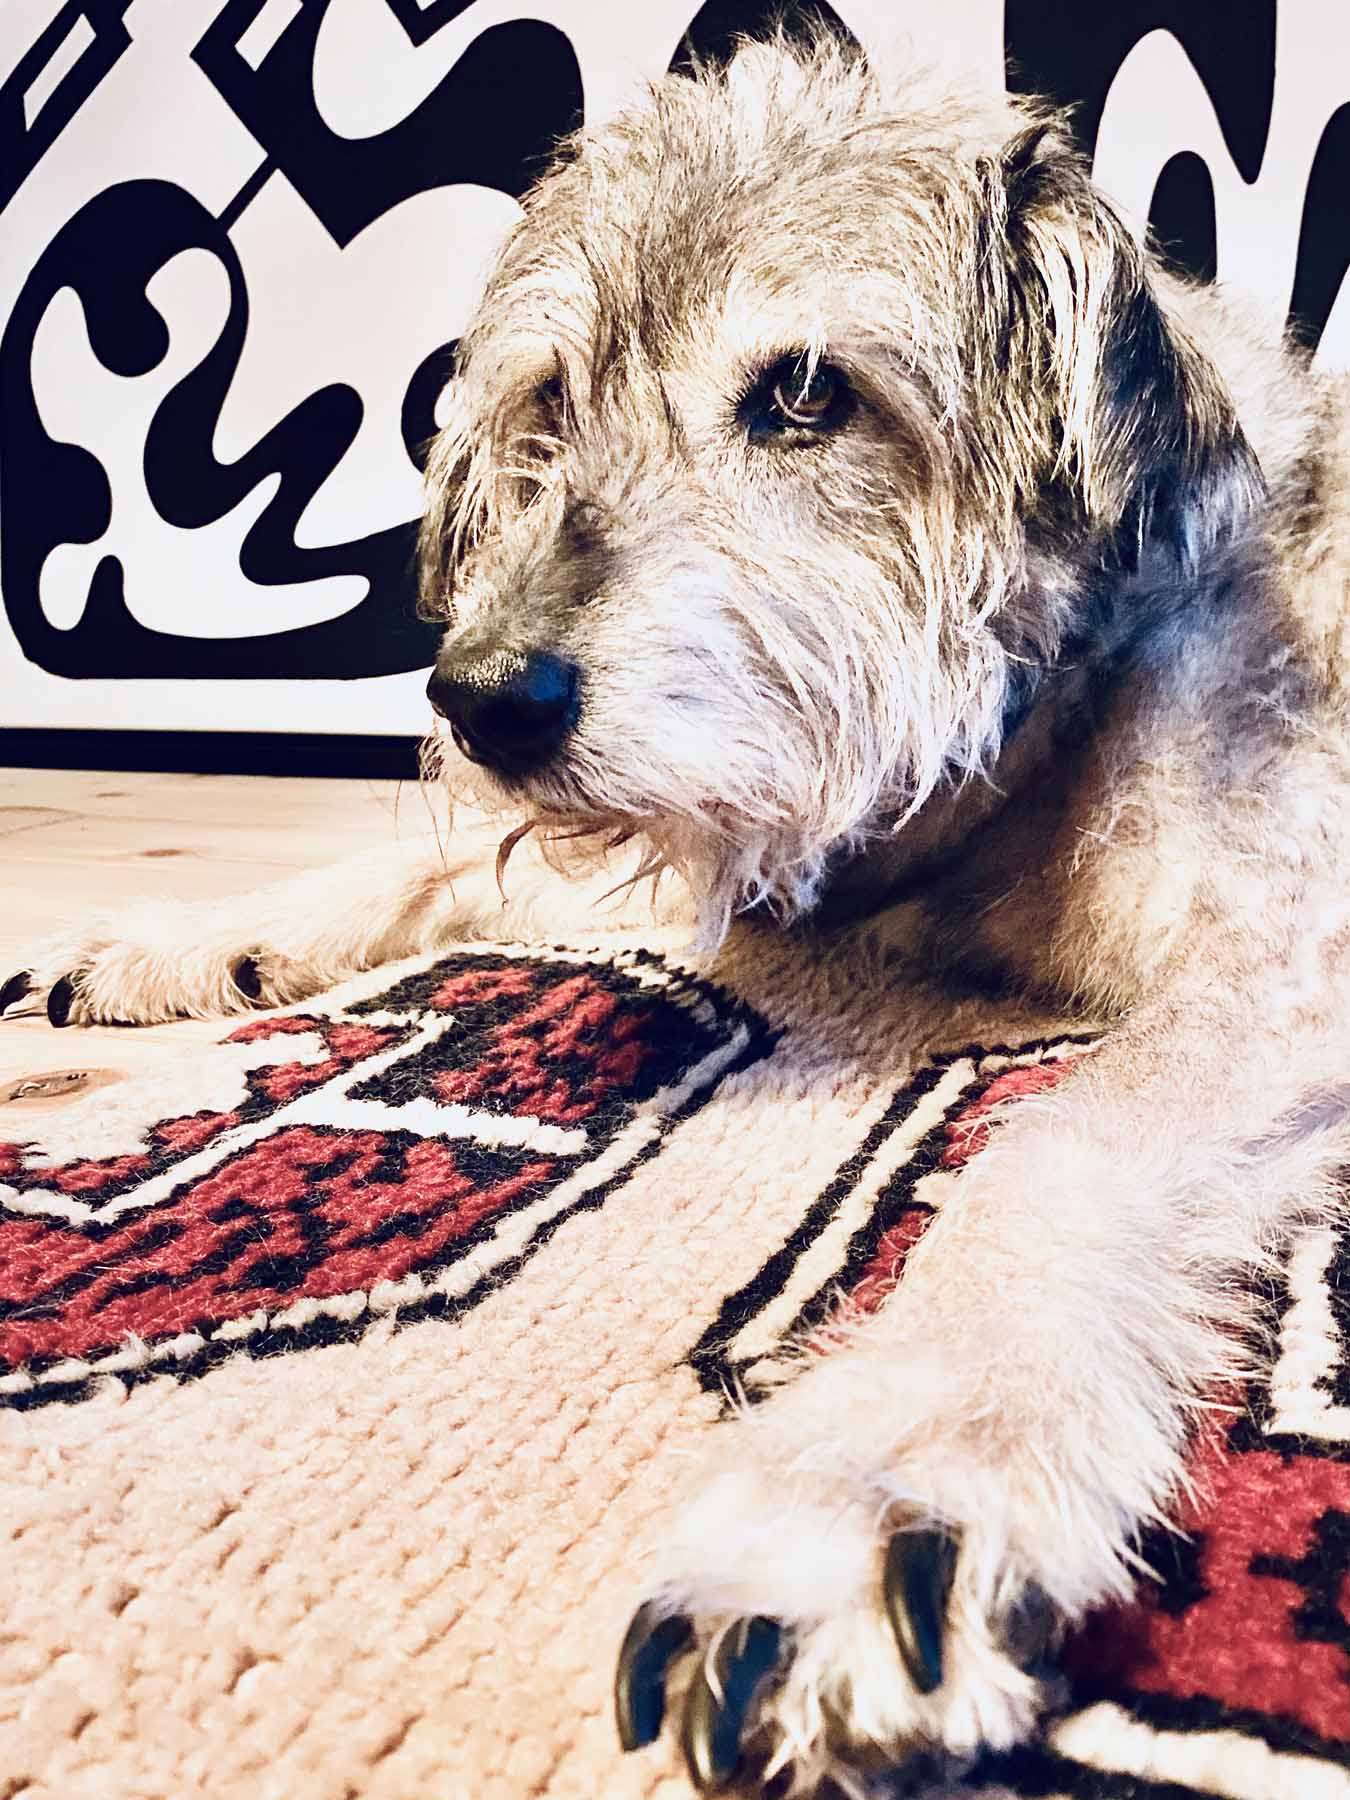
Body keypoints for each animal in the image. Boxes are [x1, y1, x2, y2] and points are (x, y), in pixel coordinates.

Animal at [8, 25, 1350, 1798]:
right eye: (552, 399)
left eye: (806, 394)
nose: (482, 698)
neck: (1048, 704)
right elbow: (446, 862)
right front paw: (176, 936)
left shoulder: (1287, 967)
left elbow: (1043, 1150)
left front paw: (858, 1493)